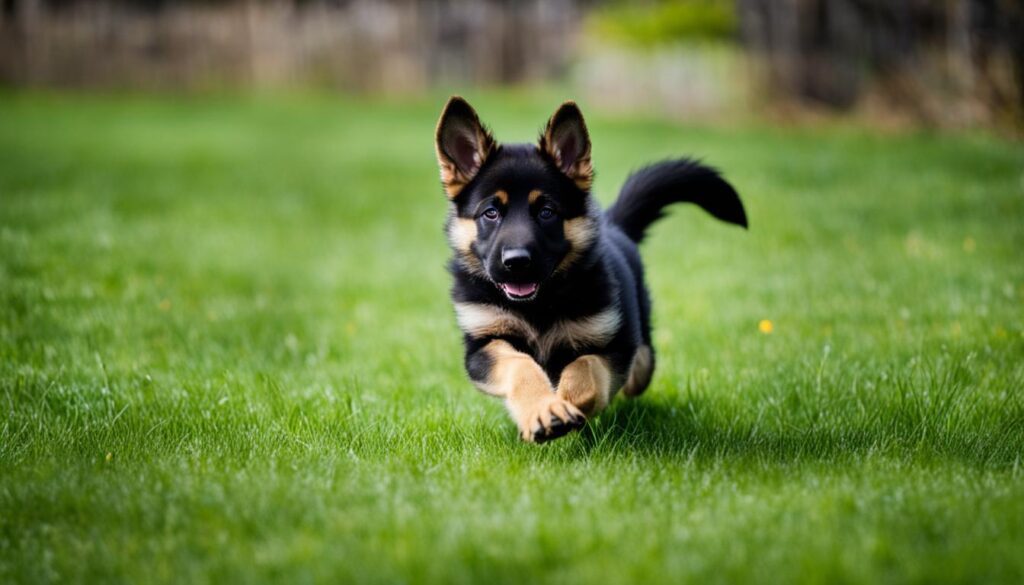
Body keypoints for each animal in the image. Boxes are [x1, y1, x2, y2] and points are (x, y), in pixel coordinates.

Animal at [432, 97, 745, 444]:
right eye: (490, 213)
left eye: (546, 212)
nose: (517, 262)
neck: (539, 306)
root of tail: (614, 224)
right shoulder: (483, 346)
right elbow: (519, 364)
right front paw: (544, 408)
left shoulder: (611, 345)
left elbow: (585, 370)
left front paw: (563, 406)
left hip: (640, 342)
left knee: (641, 364)